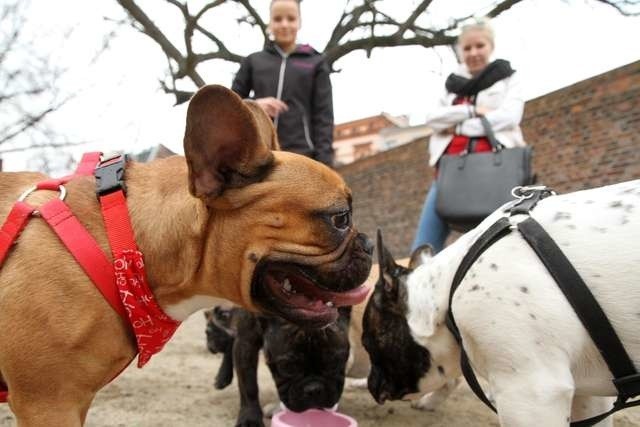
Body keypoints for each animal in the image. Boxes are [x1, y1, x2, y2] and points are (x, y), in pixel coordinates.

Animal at [204, 306, 350, 426]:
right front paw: (249, 419)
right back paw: (222, 377)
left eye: (334, 363)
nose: (314, 389)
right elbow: (248, 386)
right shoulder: (246, 342)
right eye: (287, 367)